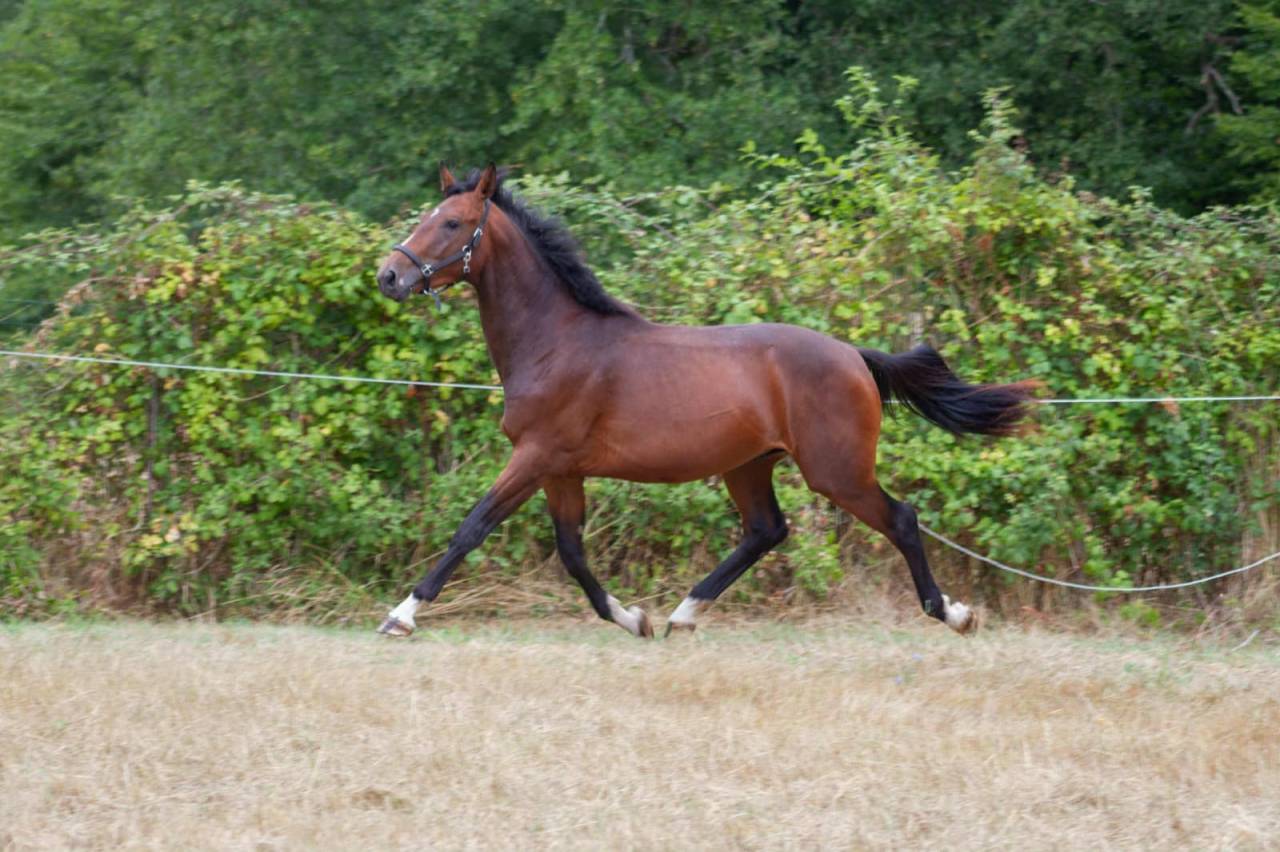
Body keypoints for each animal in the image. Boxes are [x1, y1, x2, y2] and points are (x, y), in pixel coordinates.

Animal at [374, 163, 1037, 639]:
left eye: (452, 223)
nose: (389, 276)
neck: (556, 341)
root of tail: (853, 355)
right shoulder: (561, 470)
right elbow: (572, 552)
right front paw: (633, 618)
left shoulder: (536, 456)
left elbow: (472, 527)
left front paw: (400, 615)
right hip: (749, 465)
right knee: (766, 530)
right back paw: (682, 614)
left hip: (836, 471)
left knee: (900, 519)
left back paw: (953, 614)